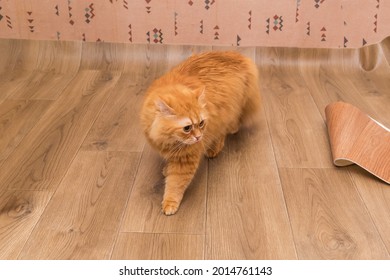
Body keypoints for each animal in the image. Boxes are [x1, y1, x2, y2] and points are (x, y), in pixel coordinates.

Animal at [141, 50, 262, 215]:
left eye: (201, 123)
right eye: (187, 128)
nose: (198, 137)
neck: (169, 139)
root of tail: (237, 55)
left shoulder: (186, 159)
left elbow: (175, 184)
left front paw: (170, 203)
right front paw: (166, 169)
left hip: (225, 113)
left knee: (224, 131)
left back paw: (217, 147)